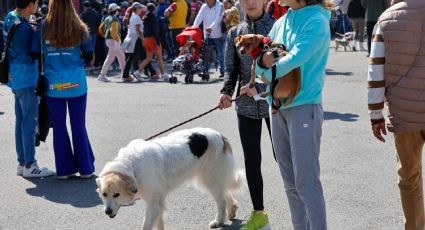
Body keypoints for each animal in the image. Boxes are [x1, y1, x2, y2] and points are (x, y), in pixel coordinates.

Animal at [95, 126, 242, 229]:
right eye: (104, 194)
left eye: (117, 194)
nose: (107, 212)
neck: (131, 165)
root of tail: (220, 136)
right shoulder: (157, 202)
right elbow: (159, 223)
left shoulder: (154, 203)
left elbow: (147, 225)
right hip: (208, 178)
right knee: (225, 193)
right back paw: (232, 211)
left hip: (210, 178)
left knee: (221, 201)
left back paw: (218, 221)